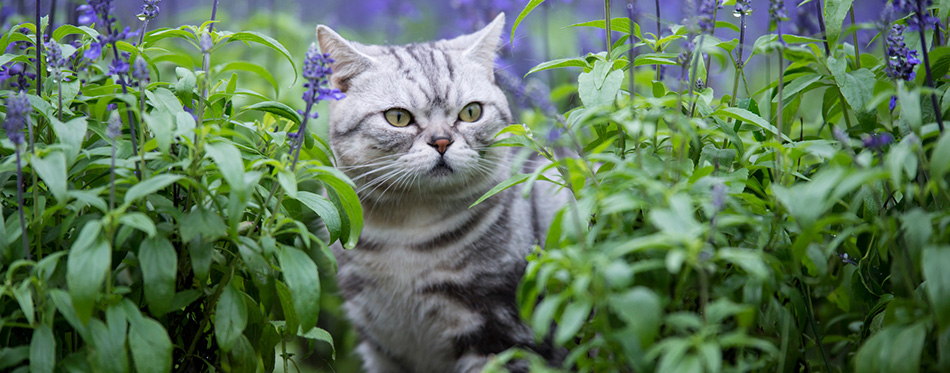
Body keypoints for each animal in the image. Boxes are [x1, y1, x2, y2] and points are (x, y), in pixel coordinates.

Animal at [316, 13, 568, 370]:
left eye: (471, 112)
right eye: (398, 117)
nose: (441, 141)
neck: (403, 234)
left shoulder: (501, 335)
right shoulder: (382, 344)